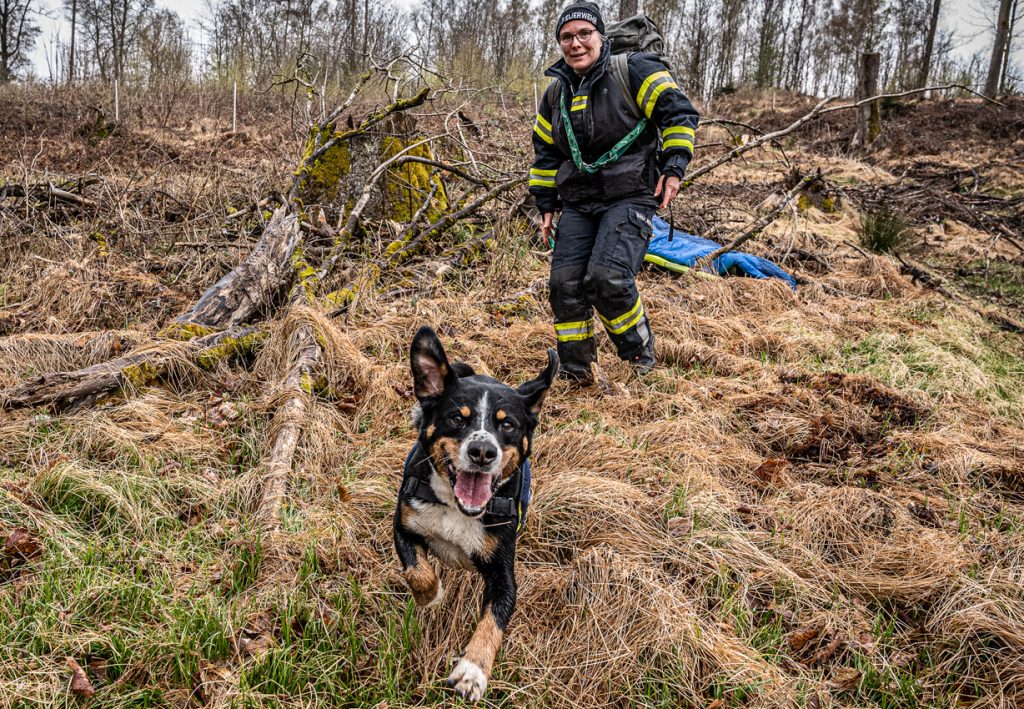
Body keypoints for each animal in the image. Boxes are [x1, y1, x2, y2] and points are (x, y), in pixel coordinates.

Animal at [393, 325, 557, 704]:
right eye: (457, 418)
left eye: (507, 425)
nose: (482, 451)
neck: (459, 509)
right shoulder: (403, 524)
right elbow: (417, 572)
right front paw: (432, 596)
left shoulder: (503, 574)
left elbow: (493, 621)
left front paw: (472, 671)